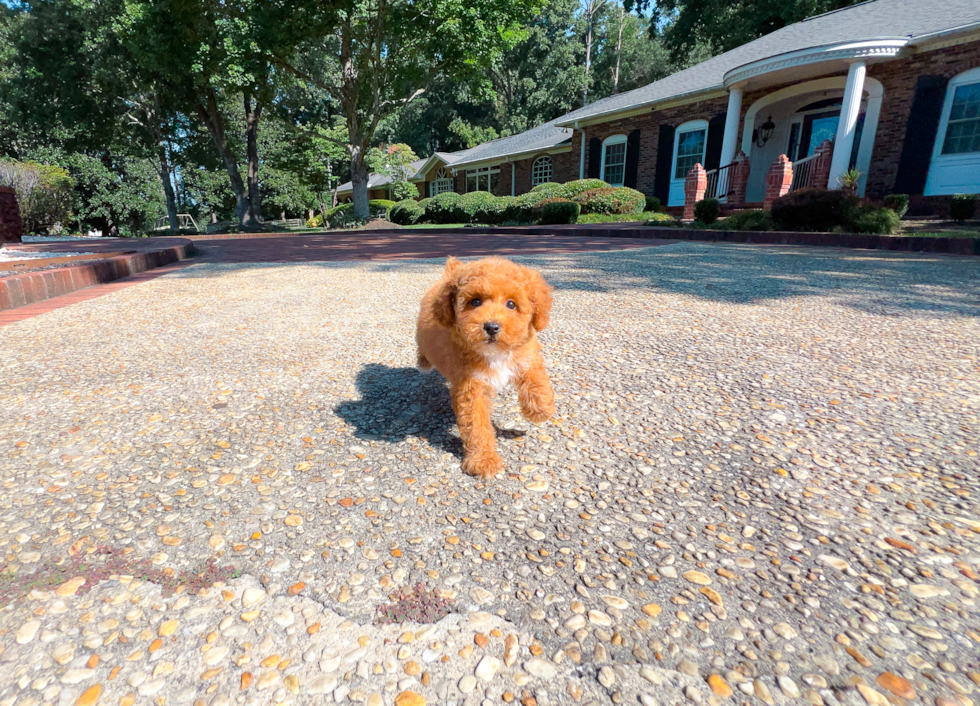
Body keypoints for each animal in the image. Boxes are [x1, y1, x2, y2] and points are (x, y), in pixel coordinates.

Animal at [418, 256, 556, 476]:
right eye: (475, 302)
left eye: (511, 304)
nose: (491, 326)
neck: (494, 353)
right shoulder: (471, 388)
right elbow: (476, 424)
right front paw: (483, 460)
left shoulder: (526, 353)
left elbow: (536, 377)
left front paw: (540, 409)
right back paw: (423, 362)